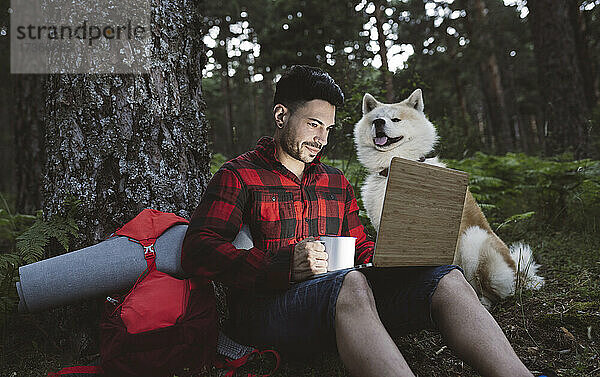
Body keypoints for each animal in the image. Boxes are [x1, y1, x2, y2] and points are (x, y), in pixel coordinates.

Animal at [352, 89, 544, 306]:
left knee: (493, 292)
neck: (390, 168)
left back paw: (483, 300)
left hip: (474, 239)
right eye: (375, 119)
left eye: (395, 119)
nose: (378, 123)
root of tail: (520, 274)